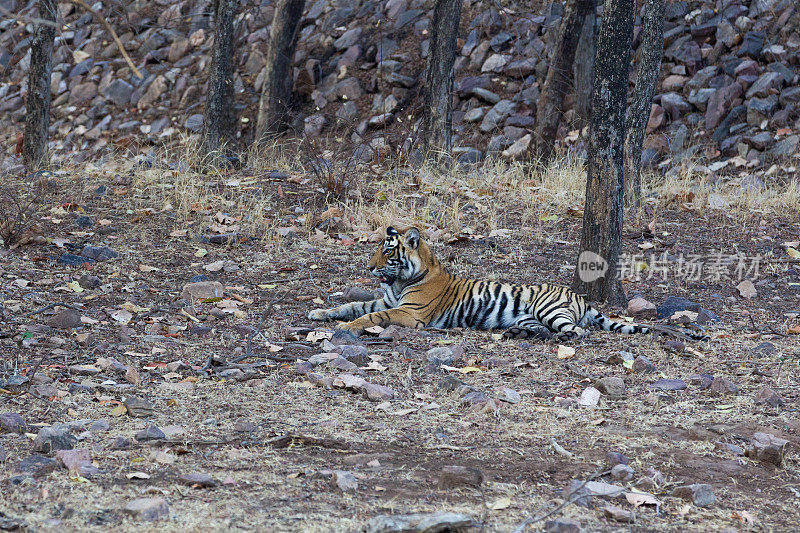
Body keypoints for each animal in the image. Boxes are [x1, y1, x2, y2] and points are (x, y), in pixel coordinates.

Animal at [310, 225, 708, 340]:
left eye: (387, 252)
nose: (368, 266)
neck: (398, 282)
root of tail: (580, 296)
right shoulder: (387, 301)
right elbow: (354, 304)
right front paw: (321, 314)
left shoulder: (409, 313)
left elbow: (369, 317)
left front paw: (343, 328)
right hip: (531, 315)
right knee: (545, 329)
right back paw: (517, 333)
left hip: (549, 308)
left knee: (579, 332)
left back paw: (561, 337)